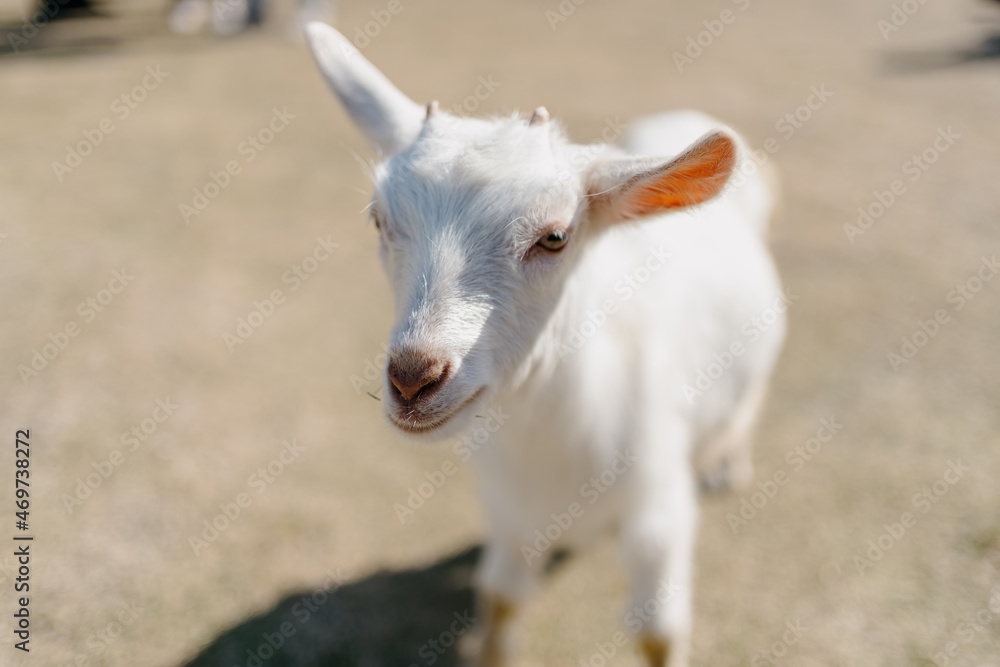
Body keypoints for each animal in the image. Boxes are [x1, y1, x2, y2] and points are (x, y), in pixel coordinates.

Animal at [308, 22, 784, 667]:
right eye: (378, 220)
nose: (412, 378)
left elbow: (657, 633)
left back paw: (729, 463)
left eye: (555, 237)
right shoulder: (509, 508)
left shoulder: (658, 511)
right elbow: (502, 596)